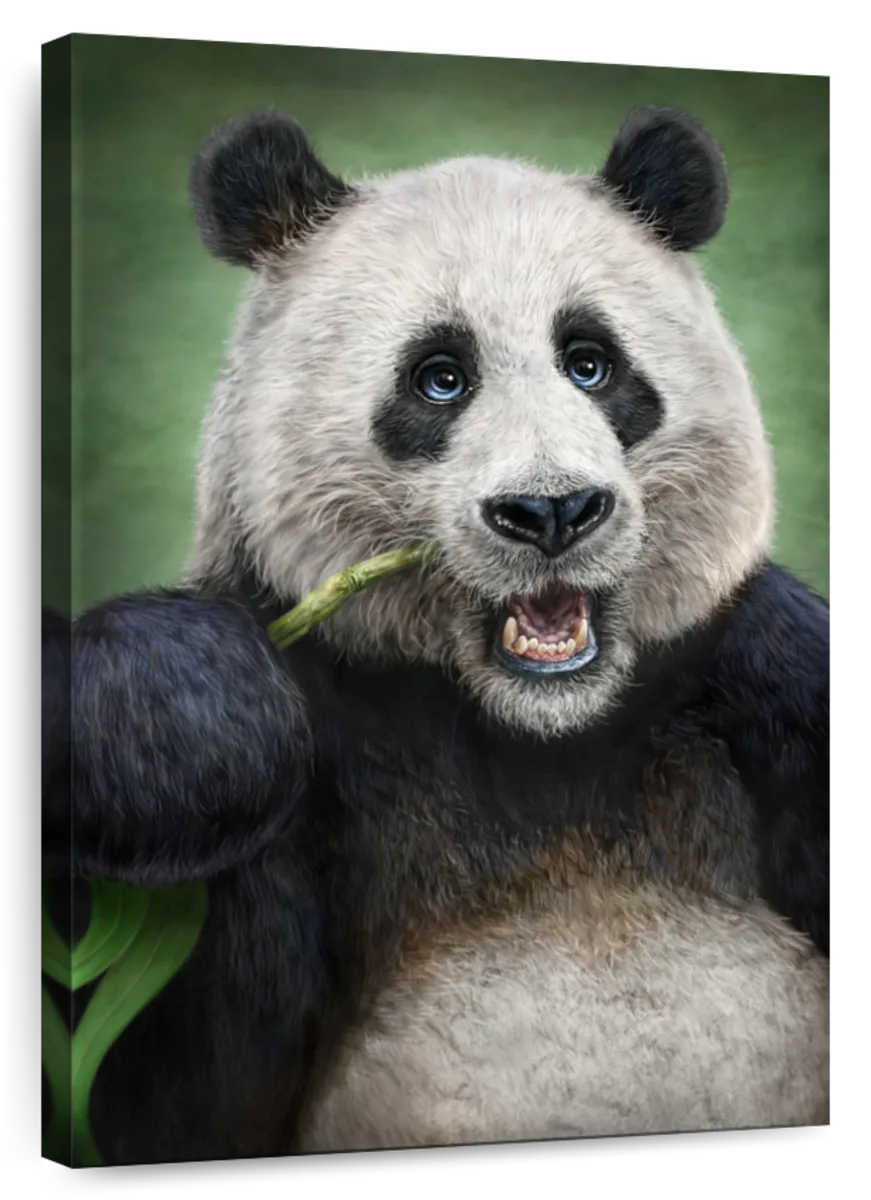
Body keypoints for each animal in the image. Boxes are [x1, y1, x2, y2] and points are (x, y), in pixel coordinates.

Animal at [41, 105, 832, 1163]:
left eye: (591, 362)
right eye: (440, 379)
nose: (552, 512)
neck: (541, 736)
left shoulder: (753, 686)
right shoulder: (326, 749)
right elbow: (171, 1089)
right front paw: (183, 720)